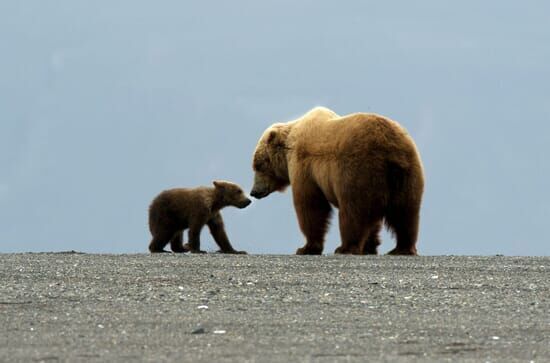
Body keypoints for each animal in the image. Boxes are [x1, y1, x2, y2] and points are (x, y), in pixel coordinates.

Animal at [252, 108, 424, 256]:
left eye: (258, 165)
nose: (254, 192)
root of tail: (390, 150)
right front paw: (370, 246)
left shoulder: (305, 166)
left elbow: (311, 206)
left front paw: (306, 247)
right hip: (408, 173)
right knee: (406, 212)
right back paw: (402, 248)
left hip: (357, 170)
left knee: (353, 211)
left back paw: (345, 247)